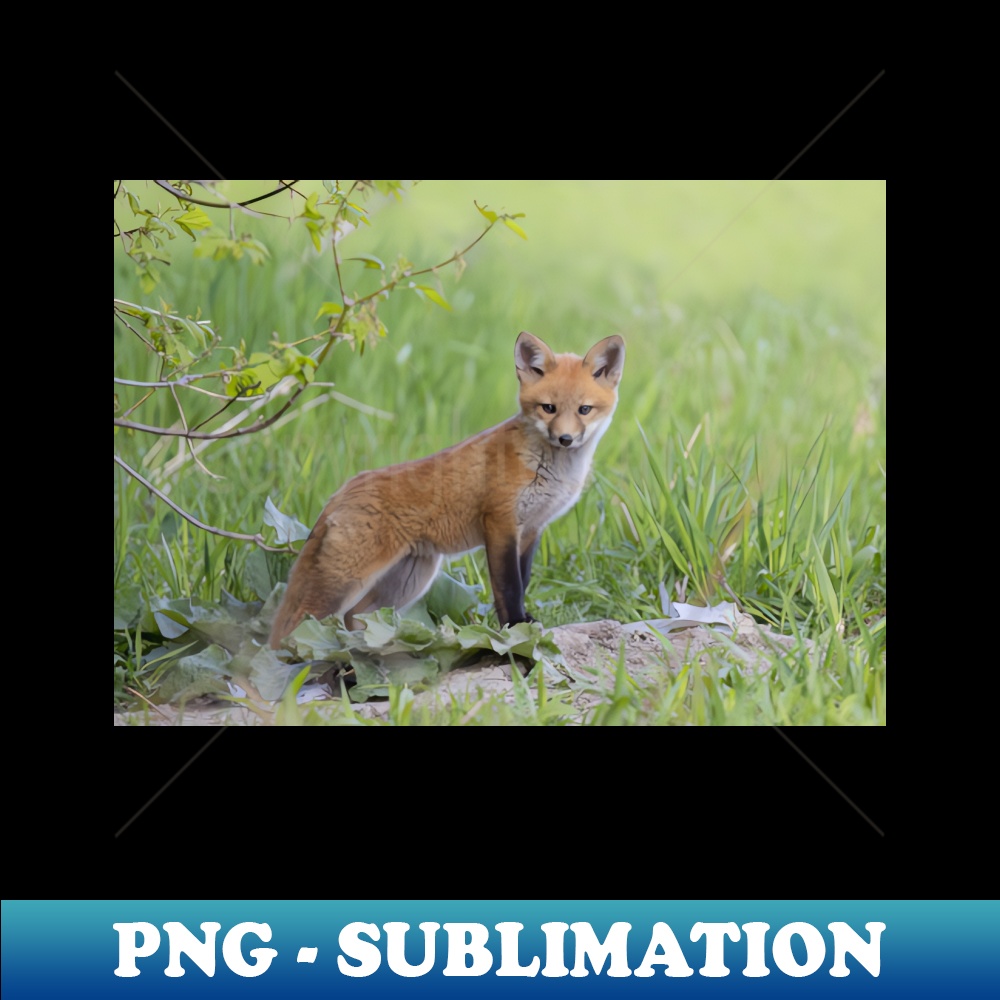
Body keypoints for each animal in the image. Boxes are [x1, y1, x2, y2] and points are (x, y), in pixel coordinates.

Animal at [268, 330, 625, 648]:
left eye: (584, 410)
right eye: (548, 408)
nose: (565, 439)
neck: (549, 470)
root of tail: (343, 489)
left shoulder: (532, 528)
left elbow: (523, 581)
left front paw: (524, 622)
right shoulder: (500, 523)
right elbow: (509, 587)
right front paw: (514, 628)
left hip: (410, 579)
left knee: (356, 616)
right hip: (347, 580)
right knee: (299, 623)